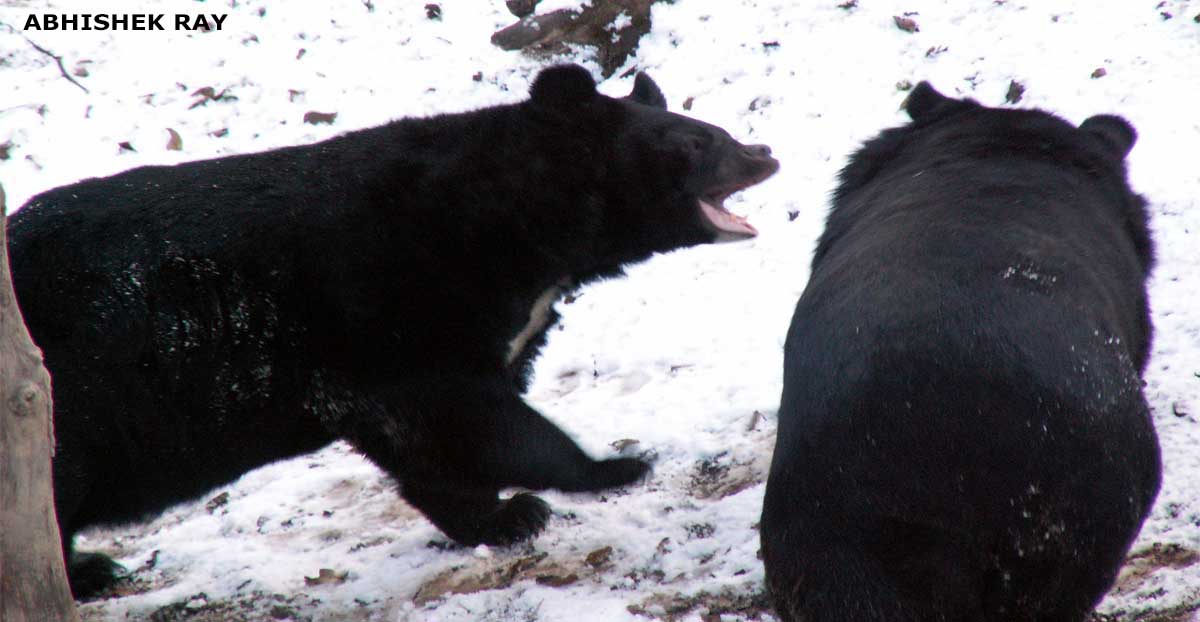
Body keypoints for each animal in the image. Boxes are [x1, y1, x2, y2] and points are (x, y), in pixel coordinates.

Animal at [9, 64, 777, 600]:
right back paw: (88, 569)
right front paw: (613, 467)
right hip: (78, 398)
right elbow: (463, 412)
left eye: (717, 131)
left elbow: (430, 443)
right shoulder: (393, 294)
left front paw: (503, 518)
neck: (524, 224)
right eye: (697, 141)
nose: (765, 152)